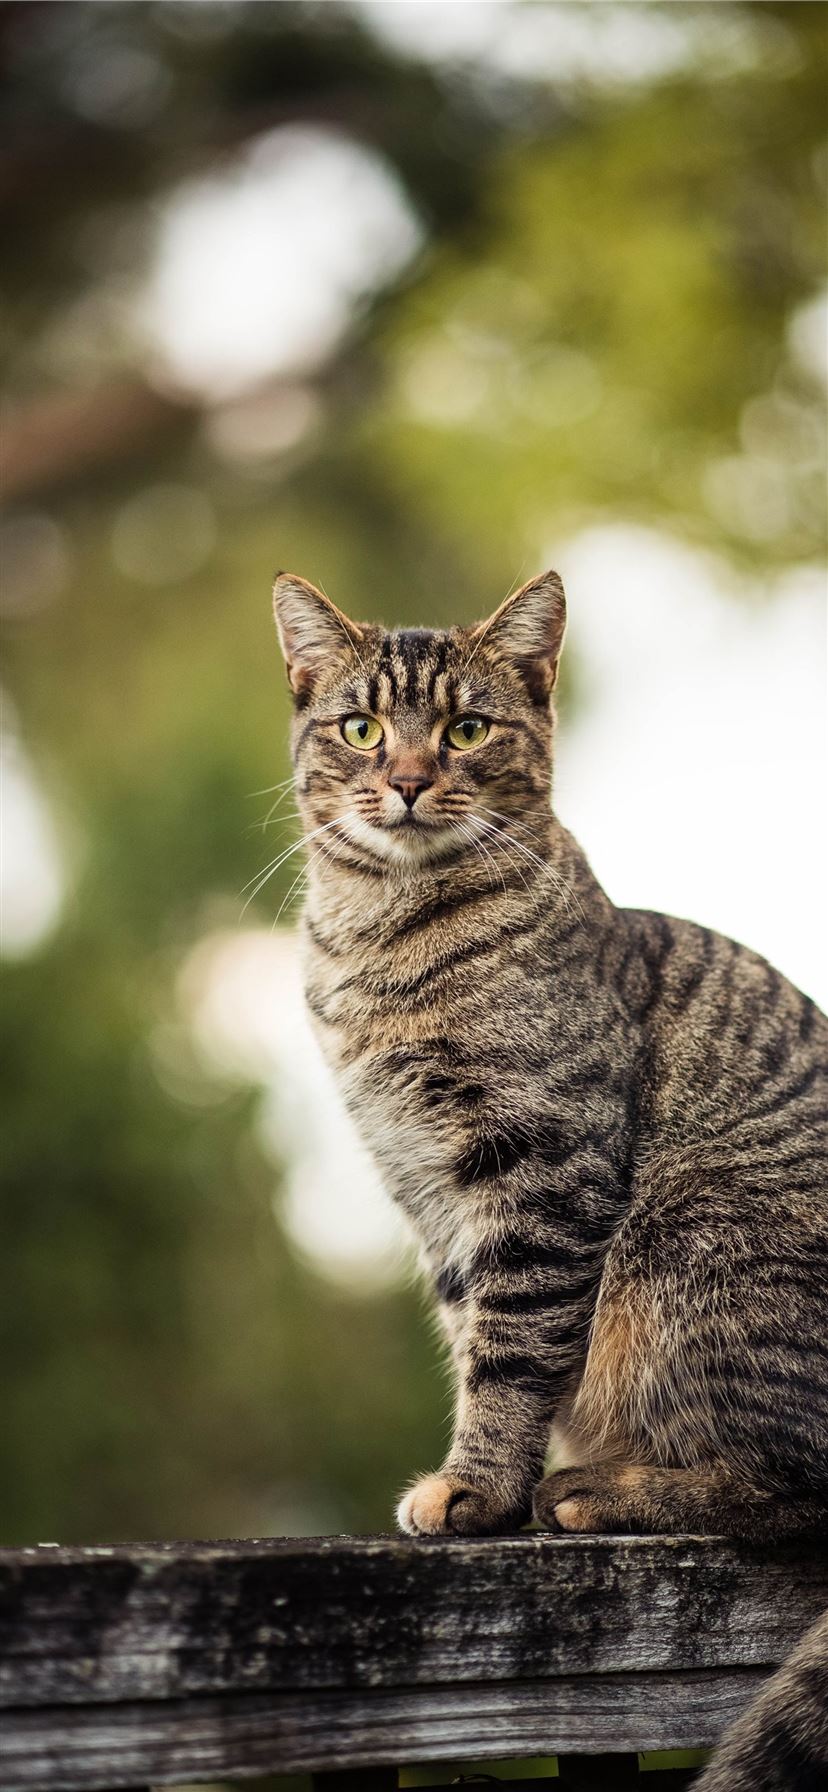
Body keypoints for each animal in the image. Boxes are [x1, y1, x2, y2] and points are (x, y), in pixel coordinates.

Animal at [272, 566, 828, 1784]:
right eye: (363, 727)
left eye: (467, 730)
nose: (409, 779)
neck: (379, 945)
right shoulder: (430, 1195)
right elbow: (474, 1337)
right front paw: (491, 1485)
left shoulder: (541, 1168)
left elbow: (515, 1350)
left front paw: (481, 1488)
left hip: (692, 1240)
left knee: (801, 1489)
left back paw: (600, 1490)